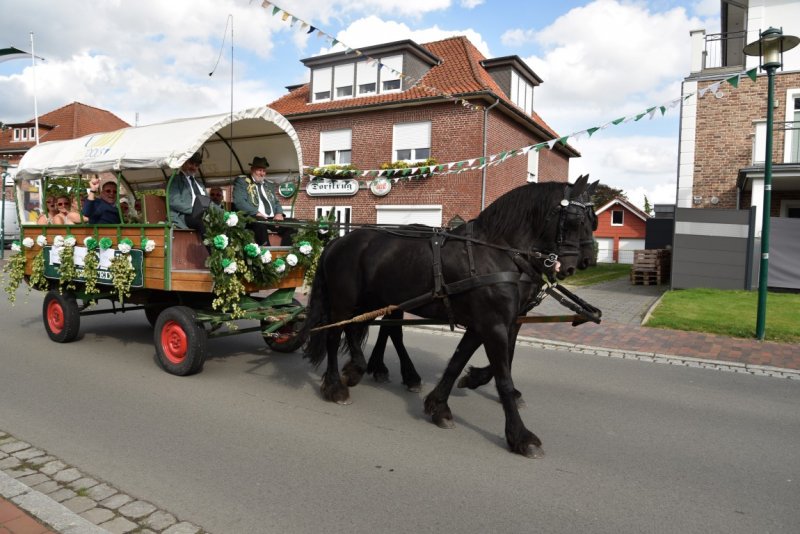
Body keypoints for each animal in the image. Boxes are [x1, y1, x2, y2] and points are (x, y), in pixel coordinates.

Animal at [304, 177, 596, 460]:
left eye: (592, 220)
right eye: (576, 220)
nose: (577, 264)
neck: (497, 252)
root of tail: (337, 241)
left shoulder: (491, 323)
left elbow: (458, 361)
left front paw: (440, 404)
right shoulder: (494, 324)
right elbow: (503, 376)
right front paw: (521, 436)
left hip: (374, 301)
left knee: (363, 331)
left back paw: (364, 369)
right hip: (344, 303)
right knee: (335, 336)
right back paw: (337, 386)